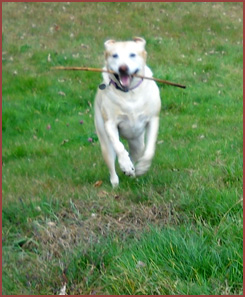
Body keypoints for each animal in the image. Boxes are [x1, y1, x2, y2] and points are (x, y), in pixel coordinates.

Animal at [94, 36, 161, 185]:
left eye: (132, 54)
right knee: (112, 160)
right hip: (104, 141)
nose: (123, 68)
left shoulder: (153, 120)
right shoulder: (110, 124)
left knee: (136, 152)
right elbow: (119, 147)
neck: (129, 93)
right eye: (114, 55)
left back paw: (133, 171)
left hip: (137, 143)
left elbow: (150, 150)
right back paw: (116, 180)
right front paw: (125, 165)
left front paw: (142, 167)